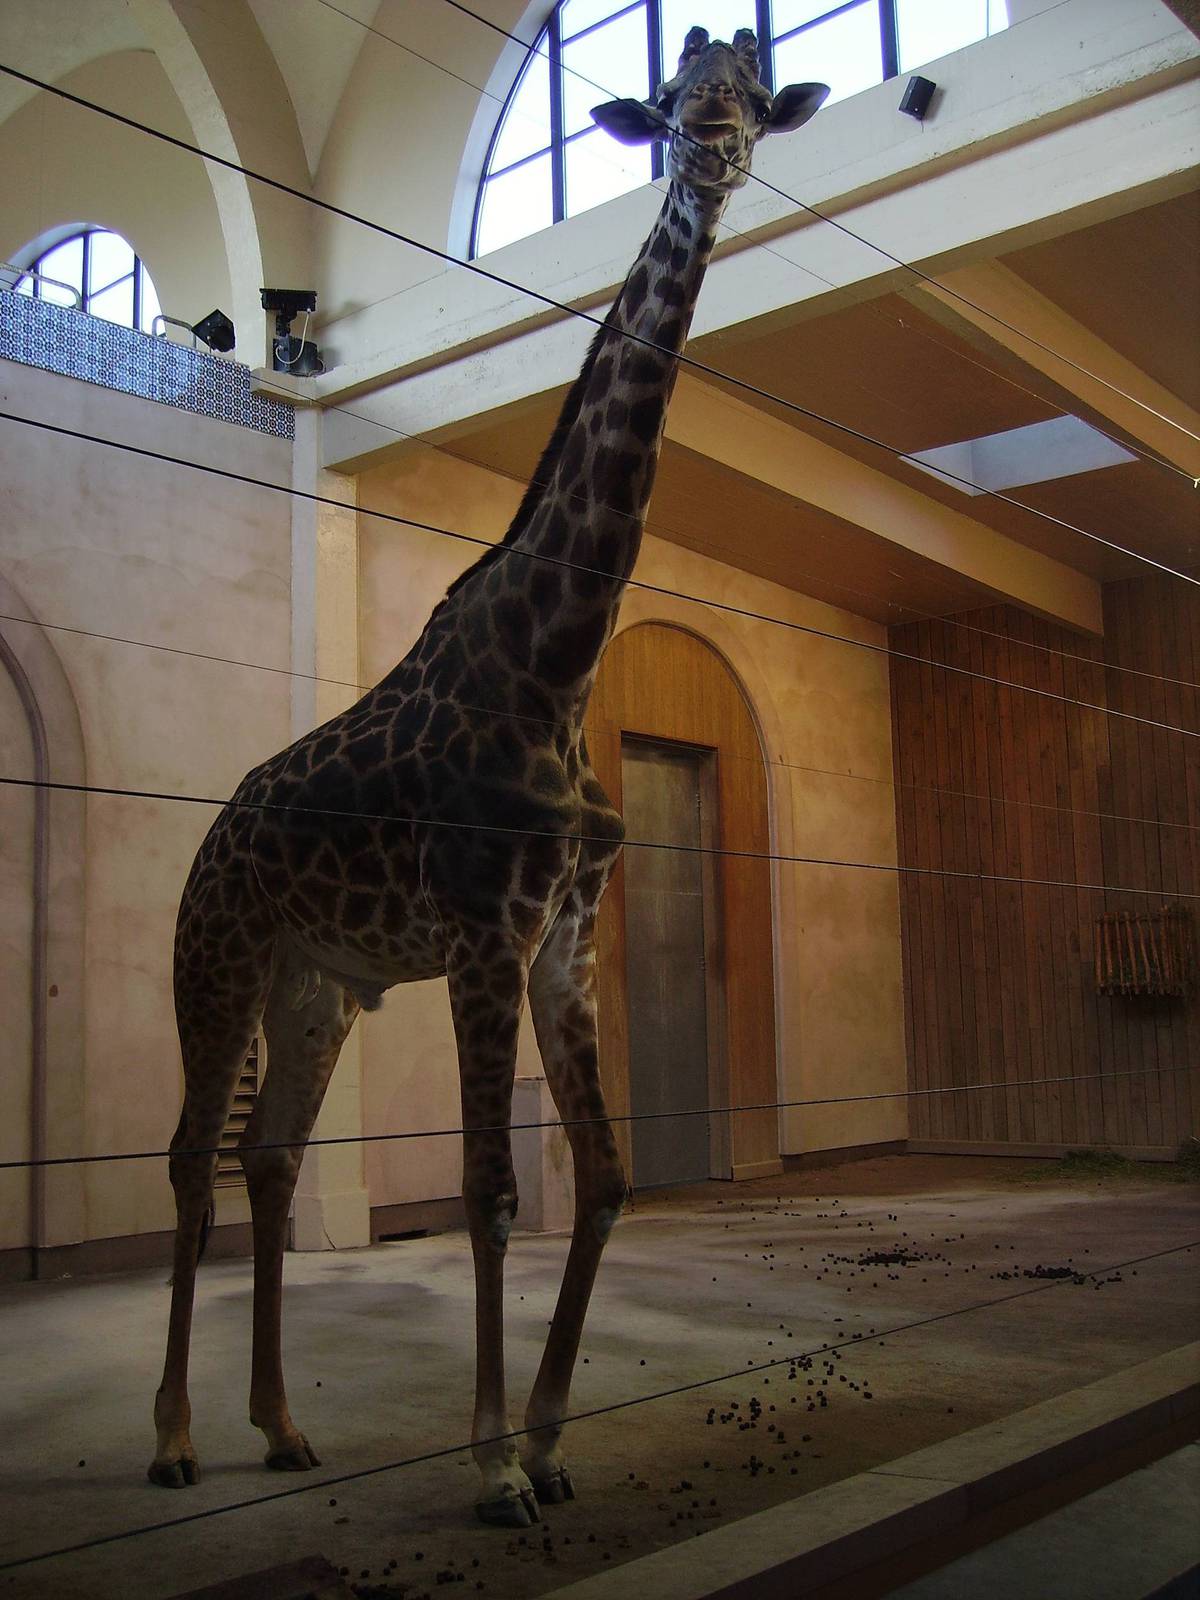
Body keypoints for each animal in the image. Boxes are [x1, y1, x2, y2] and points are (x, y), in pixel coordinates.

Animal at [149, 27, 827, 1527]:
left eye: (758, 98)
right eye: (671, 103)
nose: (711, 147)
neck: (556, 662)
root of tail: (210, 838)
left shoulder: (564, 934)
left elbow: (612, 1175)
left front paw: (555, 1439)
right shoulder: (481, 935)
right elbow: (488, 1186)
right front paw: (492, 1460)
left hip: (317, 985)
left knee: (269, 1160)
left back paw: (279, 1425)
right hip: (215, 961)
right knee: (189, 1160)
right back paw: (171, 1440)